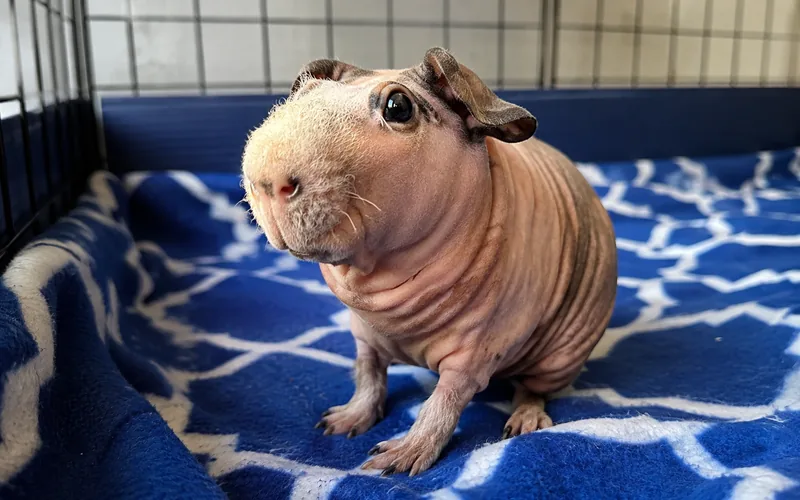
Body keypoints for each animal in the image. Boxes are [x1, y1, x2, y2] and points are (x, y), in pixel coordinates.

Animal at [241, 47, 618, 477]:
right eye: (301, 95)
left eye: (398, 106)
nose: (265, 183)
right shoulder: (363, 334)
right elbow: (367, 374)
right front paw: (346, 420)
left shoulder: (478, 349)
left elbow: (443, 404)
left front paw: (399, 457)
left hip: (559, 357)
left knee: (531, 389)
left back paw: (526, 419)